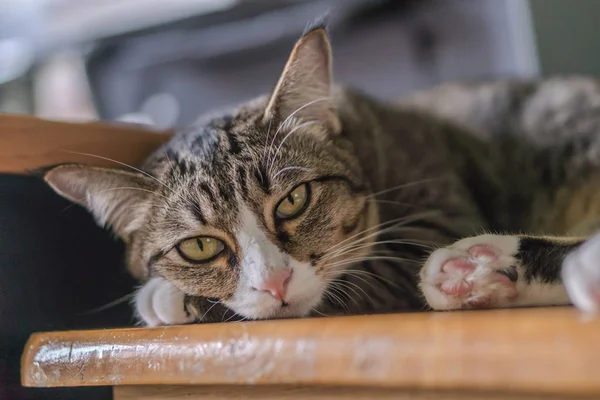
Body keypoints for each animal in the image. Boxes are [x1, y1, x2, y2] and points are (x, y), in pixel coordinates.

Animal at [41, 21, 600, 324]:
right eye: (199, 246)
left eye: (294, 200)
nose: (275, 284)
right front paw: (168, 292)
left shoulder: (434, 210)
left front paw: (170, 298)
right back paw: (481, 273)